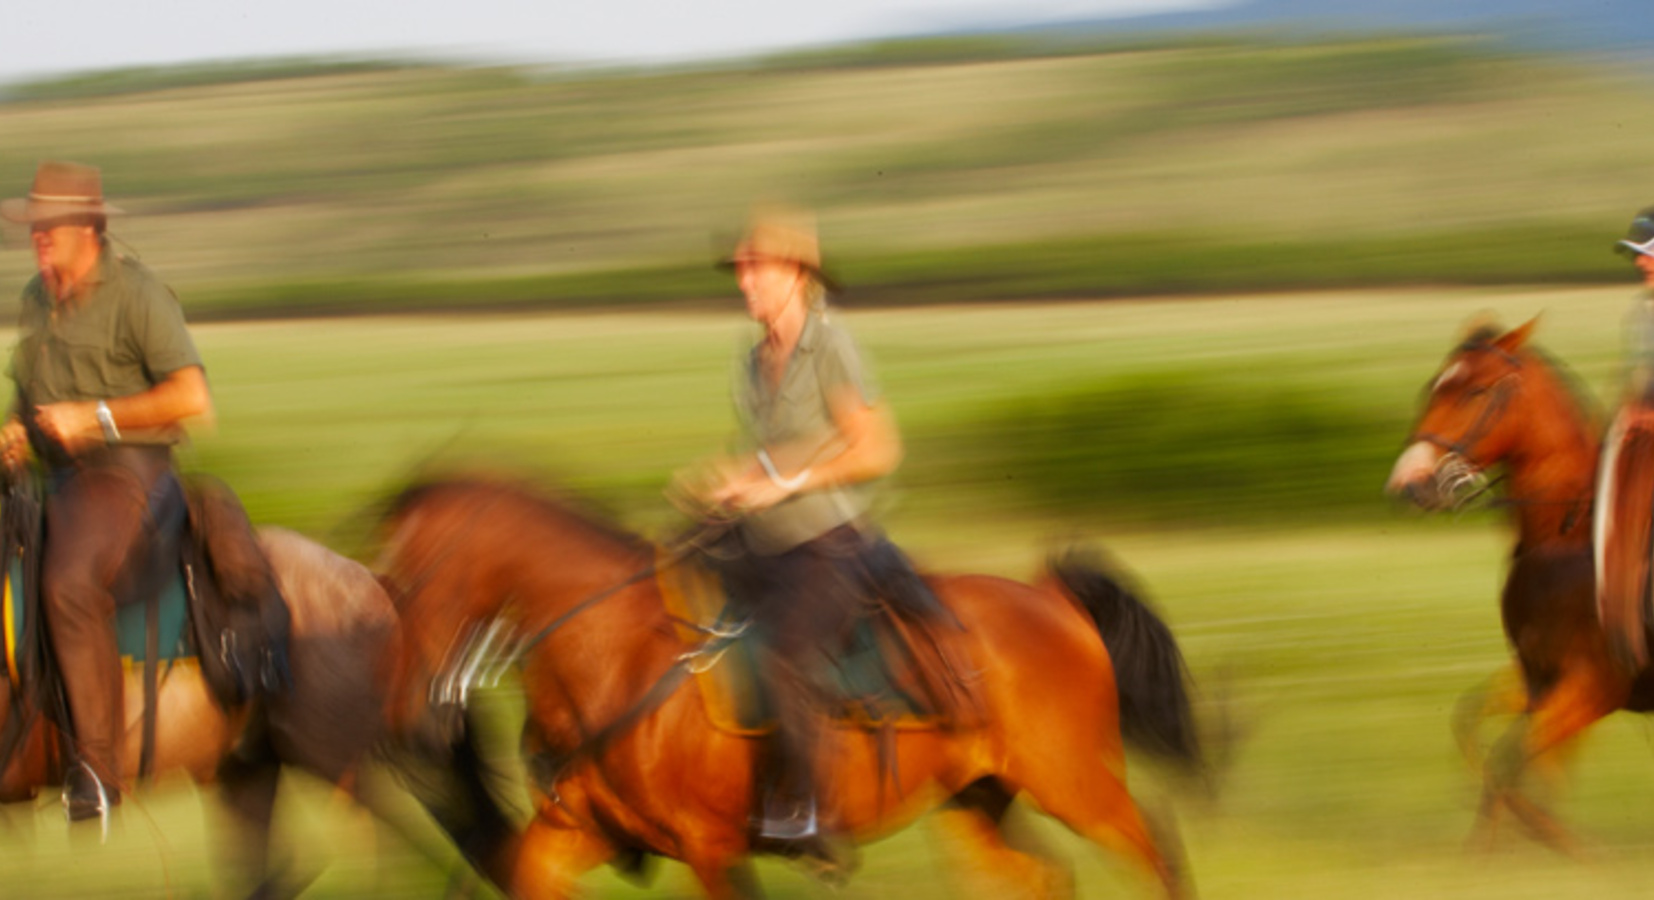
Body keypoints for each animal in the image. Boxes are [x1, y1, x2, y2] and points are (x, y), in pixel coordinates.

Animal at [372, 473, 1204, 893]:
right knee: (1042, 877)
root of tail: (1054, 600)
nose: (404, 718)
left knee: (1159, 854)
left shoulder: (713, 849)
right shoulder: (573, 835)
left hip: (1075, 783)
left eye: (406, 581)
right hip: (977, 800)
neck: (615, 659)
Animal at [1389, 319, 1654, 853]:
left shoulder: (1594, 686)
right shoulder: (1539, 681)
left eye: (1474, 391)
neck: (1568, 539)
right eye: (1433, 387)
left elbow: (1507, 763)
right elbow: (1484, 738)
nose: (1408, 483)